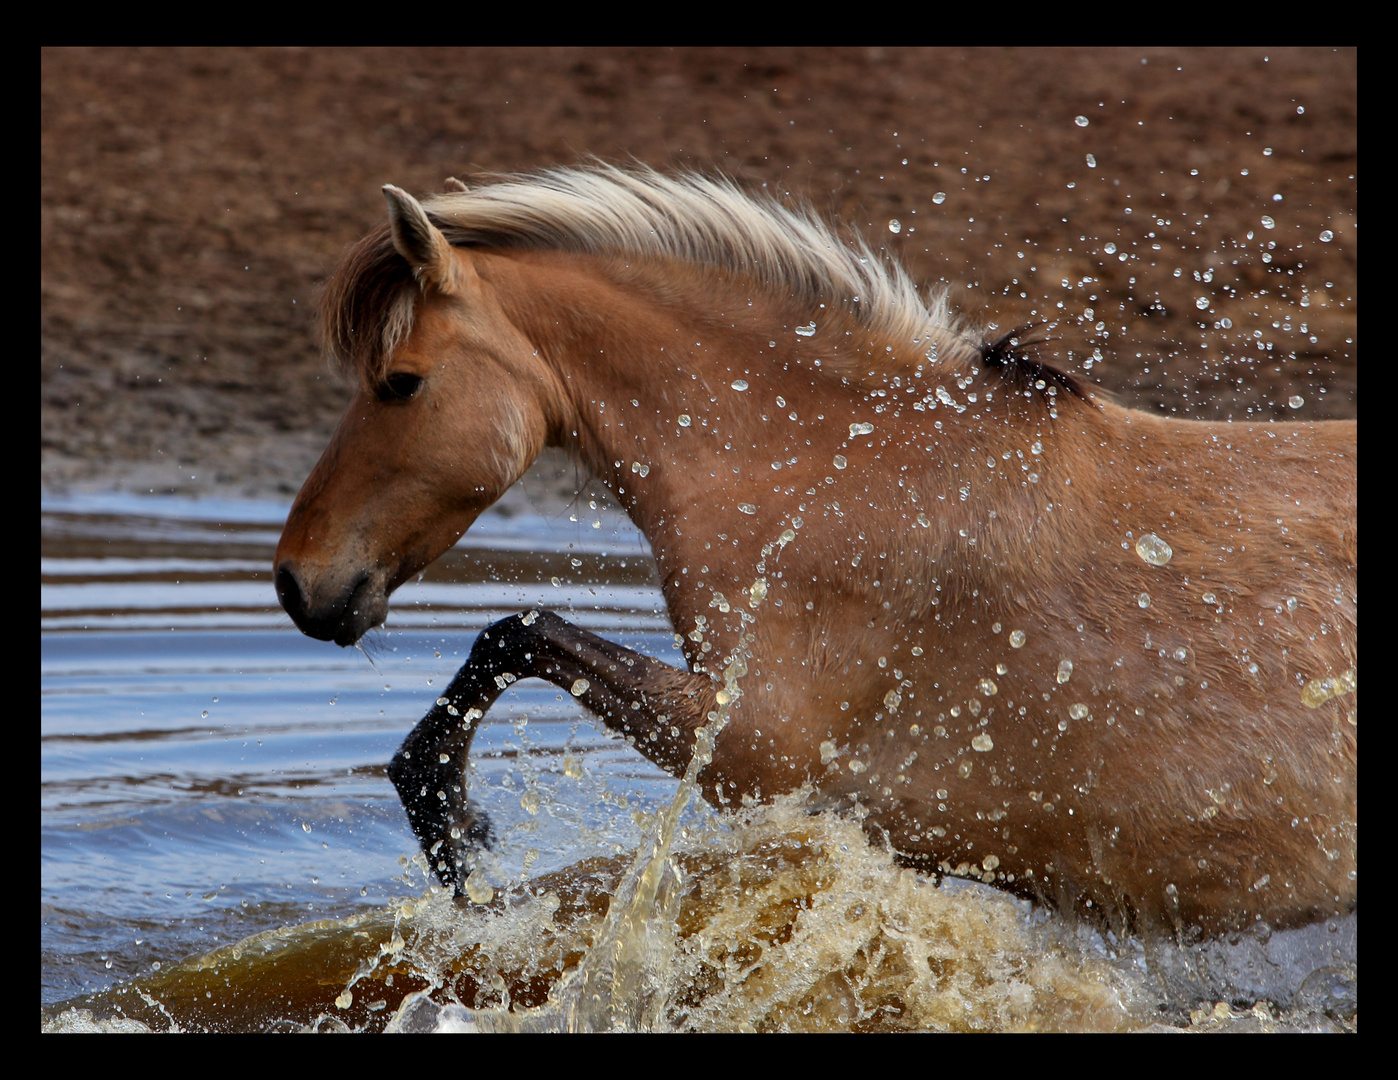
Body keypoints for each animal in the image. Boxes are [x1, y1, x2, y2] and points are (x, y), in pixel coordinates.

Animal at [272, 164, 1353, 933]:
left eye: (400, 382)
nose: (296, 581)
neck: (841, 470)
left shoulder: (752, 748)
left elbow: (516, 632)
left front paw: (455, 829)